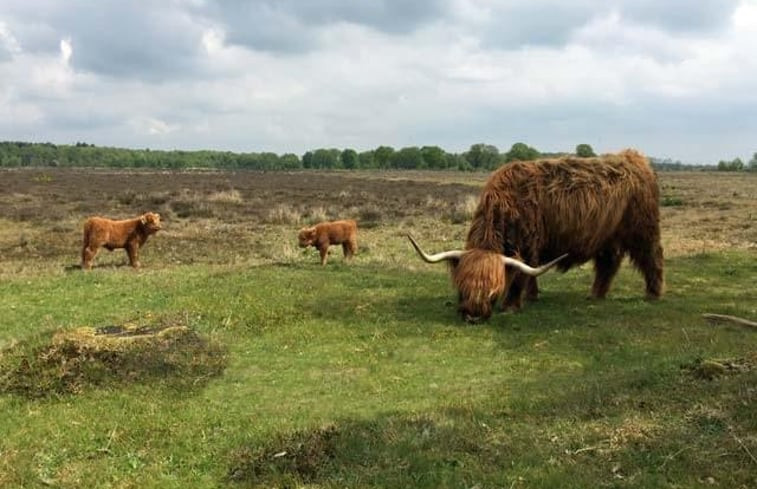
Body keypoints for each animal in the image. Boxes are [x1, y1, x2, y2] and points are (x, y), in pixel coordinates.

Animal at [408, 151, 660, 322]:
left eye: (492, 293)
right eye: (462, 288)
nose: (473, 316)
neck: (507, 202)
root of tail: (634, 157)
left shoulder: (529, 246)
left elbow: (522, 274)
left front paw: (512, 305)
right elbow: (530, 274)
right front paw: (531, 297)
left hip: (643, 228)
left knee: (652, 257)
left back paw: (653, 294)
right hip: (606, 236)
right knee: (609, 262)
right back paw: (595, 295)